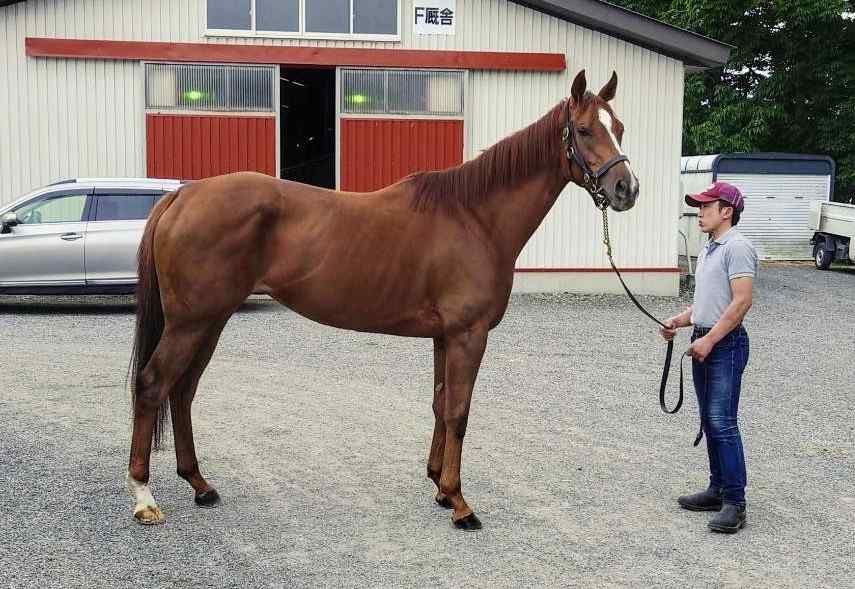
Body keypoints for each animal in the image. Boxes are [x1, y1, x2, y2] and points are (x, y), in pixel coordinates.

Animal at [125, 69, 636, 528]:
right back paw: (145, 497)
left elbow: (440, 404)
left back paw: (200, 485)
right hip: (192, 322)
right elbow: (459, 411)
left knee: (183, 391)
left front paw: (439, 488)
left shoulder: (444, 337)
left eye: (620, 127)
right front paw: (460, 503)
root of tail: (184, 195)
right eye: (585, 130)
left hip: (211, 321)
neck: (475, 217)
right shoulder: (468, 335)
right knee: (153, 385)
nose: (626, 189)